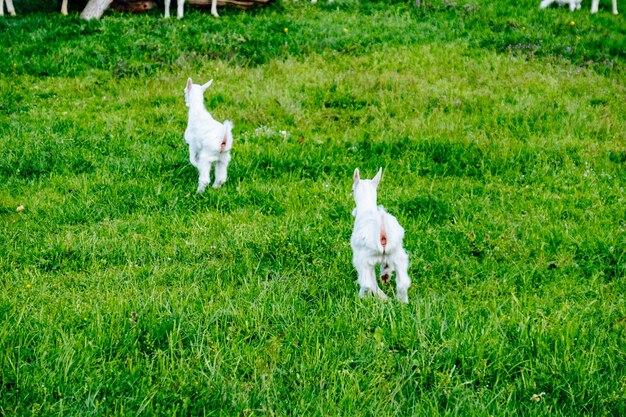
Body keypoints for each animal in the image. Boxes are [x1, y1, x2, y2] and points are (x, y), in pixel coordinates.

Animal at [352, 168, 410, 302]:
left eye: (352, 190)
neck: (367, 208)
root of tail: (382, 233)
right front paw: (385, 276)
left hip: (363, 259)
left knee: (367, 283)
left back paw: (366, 298)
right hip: (398, 255)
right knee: (403, 282)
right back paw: (402, 302)